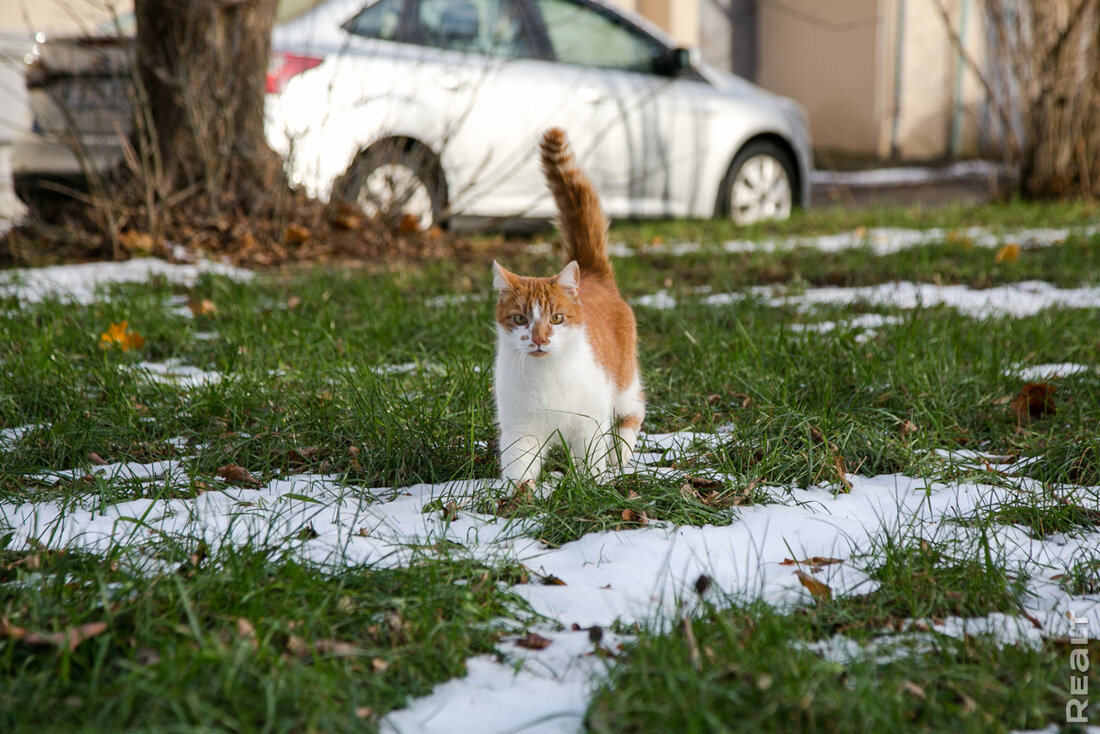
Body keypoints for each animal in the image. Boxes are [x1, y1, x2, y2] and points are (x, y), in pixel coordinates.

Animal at [492, 127, 642, 481]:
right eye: (520, 319)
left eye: (557, 318)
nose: (539, 338)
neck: (546, 376)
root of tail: (591, 272)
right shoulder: (520, 432)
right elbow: (519, 471)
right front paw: (520, 495)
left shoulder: (589, 425)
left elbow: (589, 462)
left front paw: (587, 485)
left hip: (624, 384)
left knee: (633, 412)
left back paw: (620, 456)